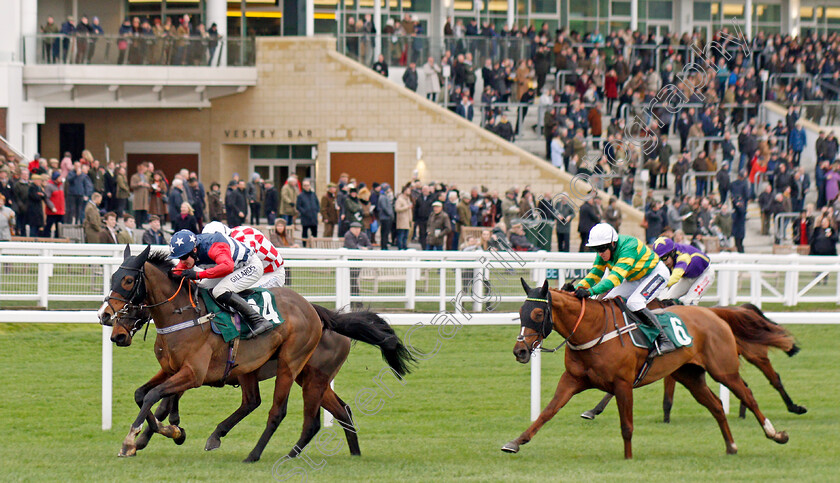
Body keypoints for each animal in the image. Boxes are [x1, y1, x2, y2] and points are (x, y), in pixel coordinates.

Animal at [580, 300, 804, 422]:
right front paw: (592, 410)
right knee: (745, 384)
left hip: (755, 354)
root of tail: (740, 309)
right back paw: (743, 412)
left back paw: (794, 407)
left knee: (774, 378)